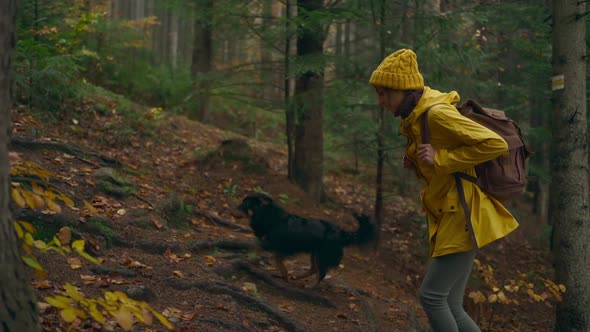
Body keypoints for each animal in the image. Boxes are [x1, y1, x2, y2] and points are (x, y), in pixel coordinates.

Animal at [239, 193, 374, 286]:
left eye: (252, 216)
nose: (254, 230)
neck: (276, 219)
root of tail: (342, 233)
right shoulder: (280, 248)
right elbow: (278, 261)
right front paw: (285, 276)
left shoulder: (275, 245)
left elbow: (258, 247)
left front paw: (251, 258)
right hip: (315, 253)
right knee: (314, 269)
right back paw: (298, 277)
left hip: (322, 255)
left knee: (321, 273)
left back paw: (311, 286)